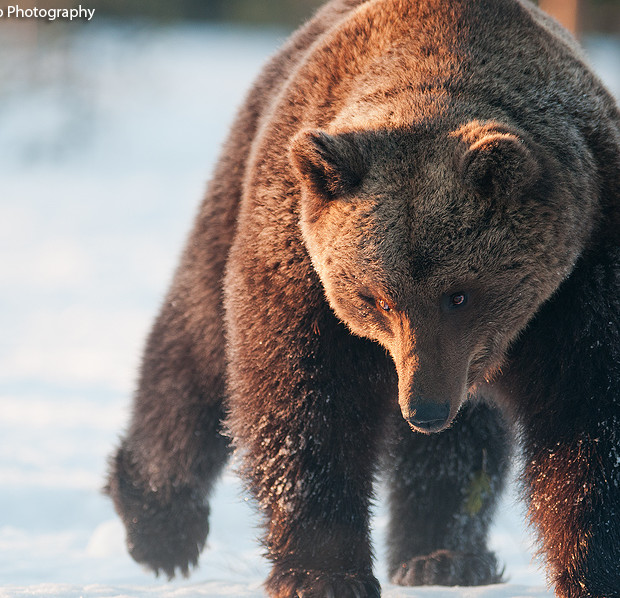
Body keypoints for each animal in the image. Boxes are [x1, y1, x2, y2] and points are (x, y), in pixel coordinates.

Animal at [105, 0, 620, 596]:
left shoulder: (583, 276)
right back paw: (159, 528)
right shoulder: (299, 266)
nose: (424, 407)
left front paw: (589, 568)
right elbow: (307, 406)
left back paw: (444, 556)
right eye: (376, 298)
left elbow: (588, 424)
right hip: (237, 187)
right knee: (195, 347)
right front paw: (323, 572)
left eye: (460, 295)